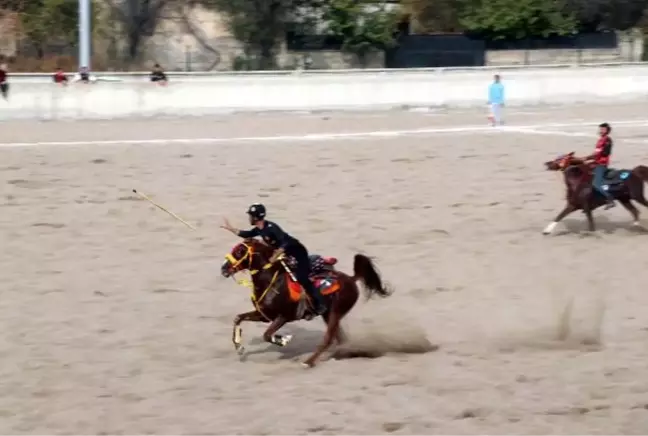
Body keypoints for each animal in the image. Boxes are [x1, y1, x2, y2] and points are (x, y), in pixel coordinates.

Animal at [220, 238, 390, 368]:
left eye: (239, 252)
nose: (224, 269)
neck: (273, 282)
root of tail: (351, 279)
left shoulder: (283, 317)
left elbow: (267, 335)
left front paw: (284, 340)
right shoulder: (264, 315)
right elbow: (238, 318)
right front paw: (239, 347)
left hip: (335, 312)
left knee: (328, 339)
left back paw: (308, 362)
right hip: (328, 314)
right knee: (340, 338)